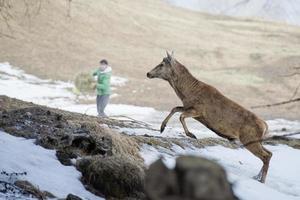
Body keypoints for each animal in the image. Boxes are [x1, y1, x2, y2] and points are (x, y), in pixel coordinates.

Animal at [146, 51, 274, 183]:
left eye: (161, 64)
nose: (148, 73)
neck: (187, 93)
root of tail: (265, 126)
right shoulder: (188, 107)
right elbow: (175, 108)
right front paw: (162, 127)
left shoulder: (199, 110)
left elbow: (181, 116)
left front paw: (191, 135)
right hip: (256, 140)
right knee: (270, 153)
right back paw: (257, 176)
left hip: (248, 138)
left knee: (266, 156)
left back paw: (262, 180)